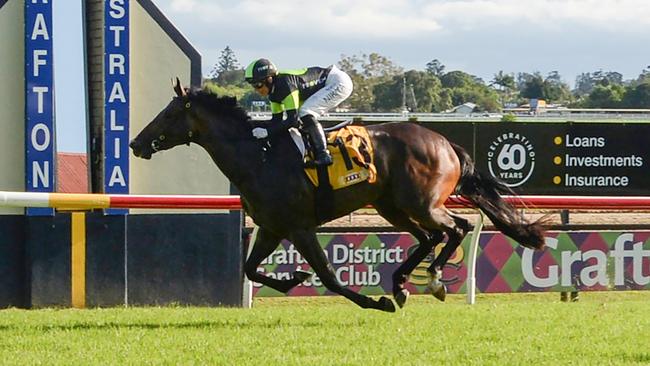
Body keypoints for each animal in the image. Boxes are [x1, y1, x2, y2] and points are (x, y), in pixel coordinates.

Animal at [129, 79, 544, 312]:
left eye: (169, 114)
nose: (136, 143)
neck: (258, 157)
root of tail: (446, 143)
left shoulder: (299, 228)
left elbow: (328, 276)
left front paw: (374, 302)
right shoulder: (271, 228)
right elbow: (249, 268)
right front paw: (293, 278)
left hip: (421, 203)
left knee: (455, 228)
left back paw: (433, 280)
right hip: (391, 205)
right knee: (429, 237)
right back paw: (401, 284)